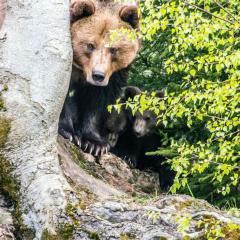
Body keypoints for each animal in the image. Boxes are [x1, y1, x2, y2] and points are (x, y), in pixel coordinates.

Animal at [58, 0, 140, 156]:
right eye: (90, 45)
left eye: (113, 49)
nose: (98, 75)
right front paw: (67, 131)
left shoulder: (114, 74)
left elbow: (100, 99)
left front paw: (94, 143)